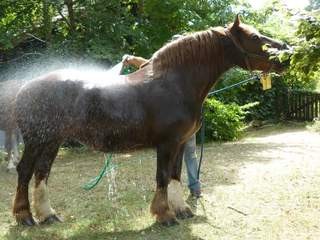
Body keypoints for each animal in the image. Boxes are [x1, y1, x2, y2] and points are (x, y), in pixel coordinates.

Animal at [12, 15, 288, 227]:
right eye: (255, 37)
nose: (285, 52)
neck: (176, 83)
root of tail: (25, 87)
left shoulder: (181, 143)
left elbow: (175, 175)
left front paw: (181, 210)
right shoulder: (166, 144)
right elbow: (162, 176)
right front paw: (164, 215)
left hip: (52, 141)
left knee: (42, 172)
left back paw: (47, 215)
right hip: (37, 140)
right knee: (25, 171)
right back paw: (24, 216)